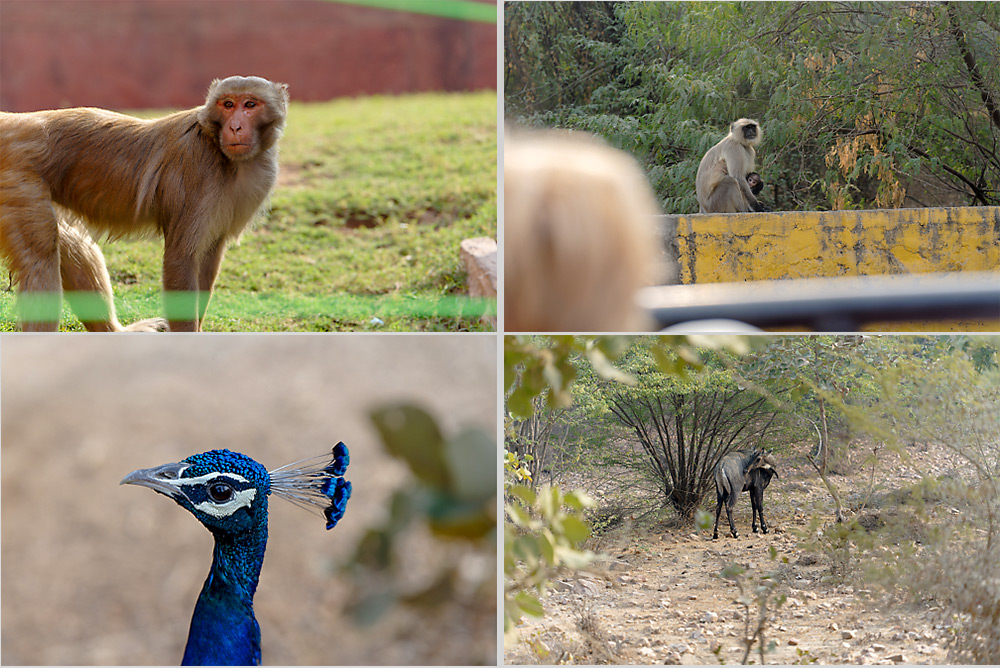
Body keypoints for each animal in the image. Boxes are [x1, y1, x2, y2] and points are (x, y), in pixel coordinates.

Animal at [0, 75, 290, 332]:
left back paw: (114, 332)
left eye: (250, 105)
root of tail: (16, 122)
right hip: (18, 180)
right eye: (228, 104)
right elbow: (181, 259)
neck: (220, 150)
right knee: (41, 255)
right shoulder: (198, 174)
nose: (235, 127)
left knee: (68, 243)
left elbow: (209, 258)